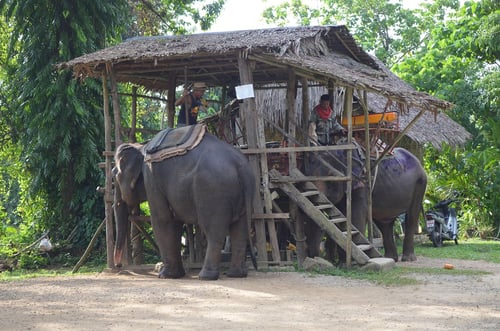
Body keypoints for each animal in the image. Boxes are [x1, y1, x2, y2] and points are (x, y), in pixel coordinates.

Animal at [112, 130, 256, 280]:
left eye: (114, 175)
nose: (118, 265)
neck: (142, 147)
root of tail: (239, 166)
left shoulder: (151, 178)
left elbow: (162, 220)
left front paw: (164, 275)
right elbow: (175, 223)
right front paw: (176, 274)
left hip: (213, 192)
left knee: (214, 231)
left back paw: (205, 276)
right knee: (240, 230)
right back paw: (236, 274)